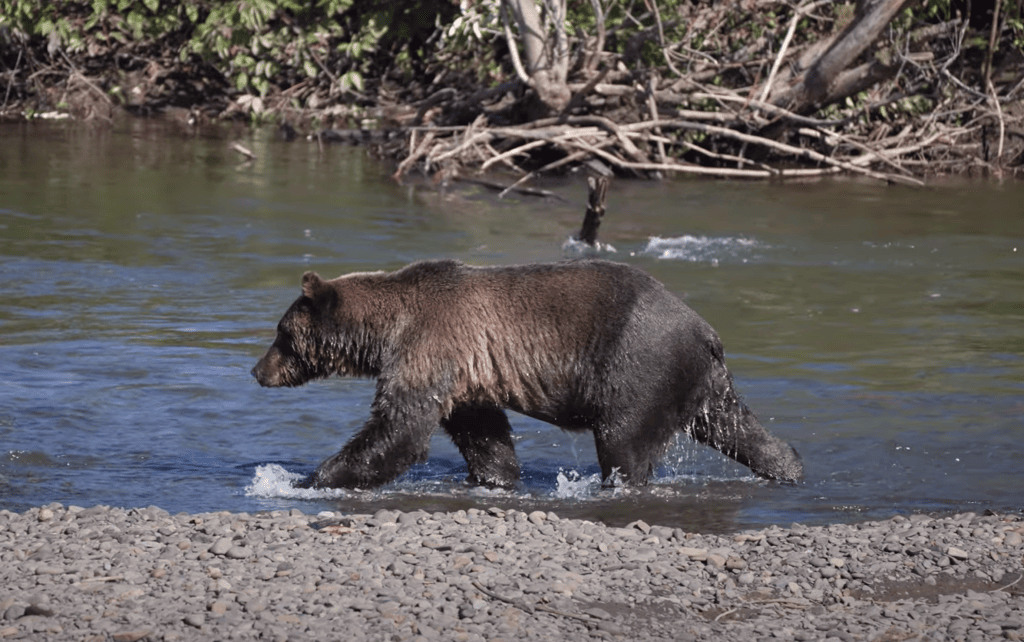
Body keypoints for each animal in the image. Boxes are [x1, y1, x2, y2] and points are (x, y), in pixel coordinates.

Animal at [251, 258, 803, 490]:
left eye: (281, 332)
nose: (257, 370)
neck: (387, 329)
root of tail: (704, 328)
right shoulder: (468, 373)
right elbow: (482, 432)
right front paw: (495, 476)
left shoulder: (431, 345)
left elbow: (398, 428)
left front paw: (305, 478)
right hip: (700, 382)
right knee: (739, 428)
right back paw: (789, 467)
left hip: (639, 365)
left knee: (624, 441)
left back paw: (617, 483)